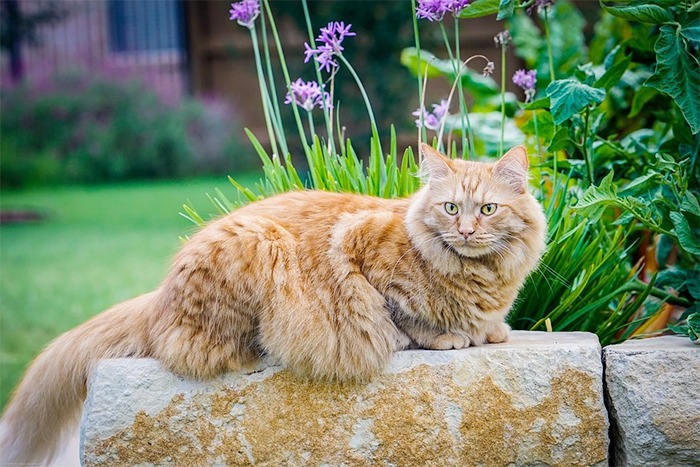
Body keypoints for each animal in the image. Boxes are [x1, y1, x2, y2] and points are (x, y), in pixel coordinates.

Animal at [0, 144, 548, 466]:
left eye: (488, 209)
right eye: (451, 208)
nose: (467, 231)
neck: (477, 275)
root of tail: (158, 298)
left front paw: (491, 329)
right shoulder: (361, 255)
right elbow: (402, 316)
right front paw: (446, 334)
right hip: (262, 245)